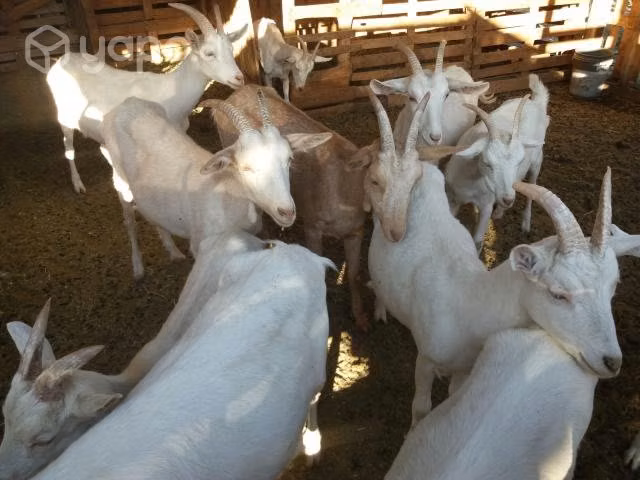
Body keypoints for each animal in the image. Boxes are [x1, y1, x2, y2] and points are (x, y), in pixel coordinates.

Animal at [46, 2, 247, 193]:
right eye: (209, 53)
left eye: (231, 49)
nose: (239, 78)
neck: (172, 92)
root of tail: (61, 61)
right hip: (63, 118)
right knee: (68, 148)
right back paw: (78, 184)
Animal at [101, 91, 332, 278]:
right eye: (245, 167)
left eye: (289, 159)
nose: (286, 212)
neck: (226, 193)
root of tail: (126, 103)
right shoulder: (200, 246)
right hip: (120, 181)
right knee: (130, 221)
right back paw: (138, 268)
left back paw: (173, 252)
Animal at [214, 84, 462, 330]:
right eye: (375, 180)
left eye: (415, 180)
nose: (396, 232)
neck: (342, 184)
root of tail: (239, 91)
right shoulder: (313, 228)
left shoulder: (355, 232)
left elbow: (353, 274)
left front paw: (360, 317)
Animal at [367, 91, 623, 429]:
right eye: (558, 293)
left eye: (613, 288)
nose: (612, 361)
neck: (469, 302)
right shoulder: (426, 358)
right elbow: (421, 408)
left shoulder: (464, 369)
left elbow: (452, 397)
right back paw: (380, 307)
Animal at [445, 73, 550, 251]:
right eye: (487, 163)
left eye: (520, 161)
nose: (508, 199)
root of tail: (536, 104)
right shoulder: (453, 199)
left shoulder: (486, 205)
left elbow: (477, 241)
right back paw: (500, 211)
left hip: (537, 162)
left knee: (532, 187)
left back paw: (525, 223)